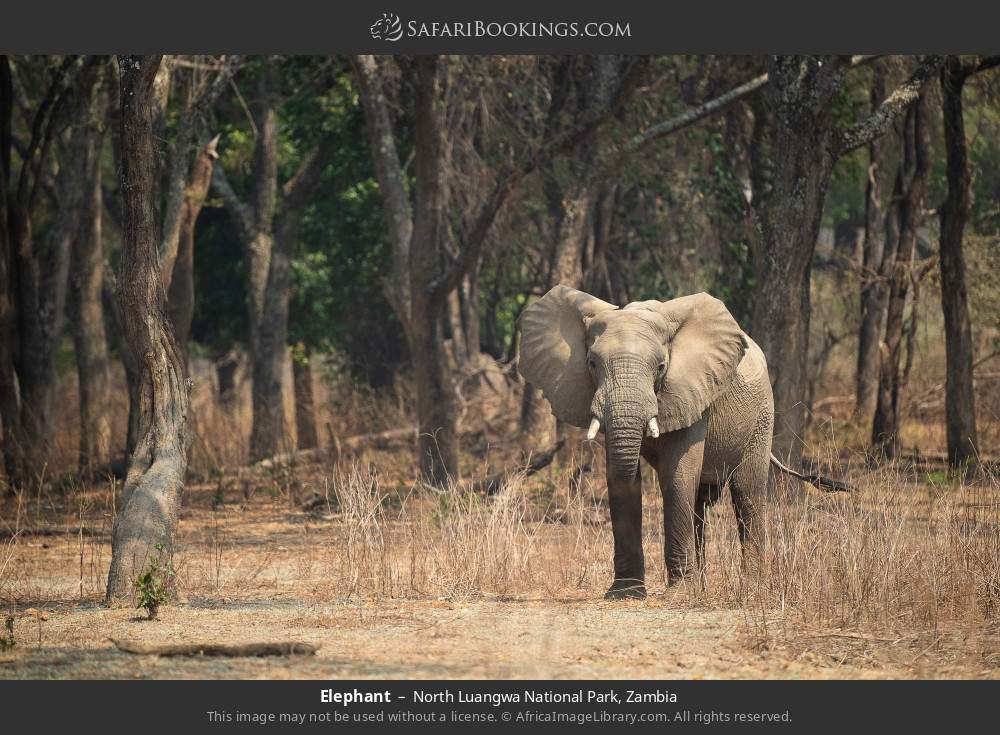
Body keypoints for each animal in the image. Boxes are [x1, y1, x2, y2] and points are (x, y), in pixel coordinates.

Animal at [518, 285, 847, 599]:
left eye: (661, 367)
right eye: (592, 363)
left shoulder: (692, 390)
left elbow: (676, 480)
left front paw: (676, 595)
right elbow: (621, 481)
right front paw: (624, 594)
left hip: (762, 413)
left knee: (747, 494)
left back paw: (751, 590)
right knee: (699, 504)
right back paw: (701, 587)